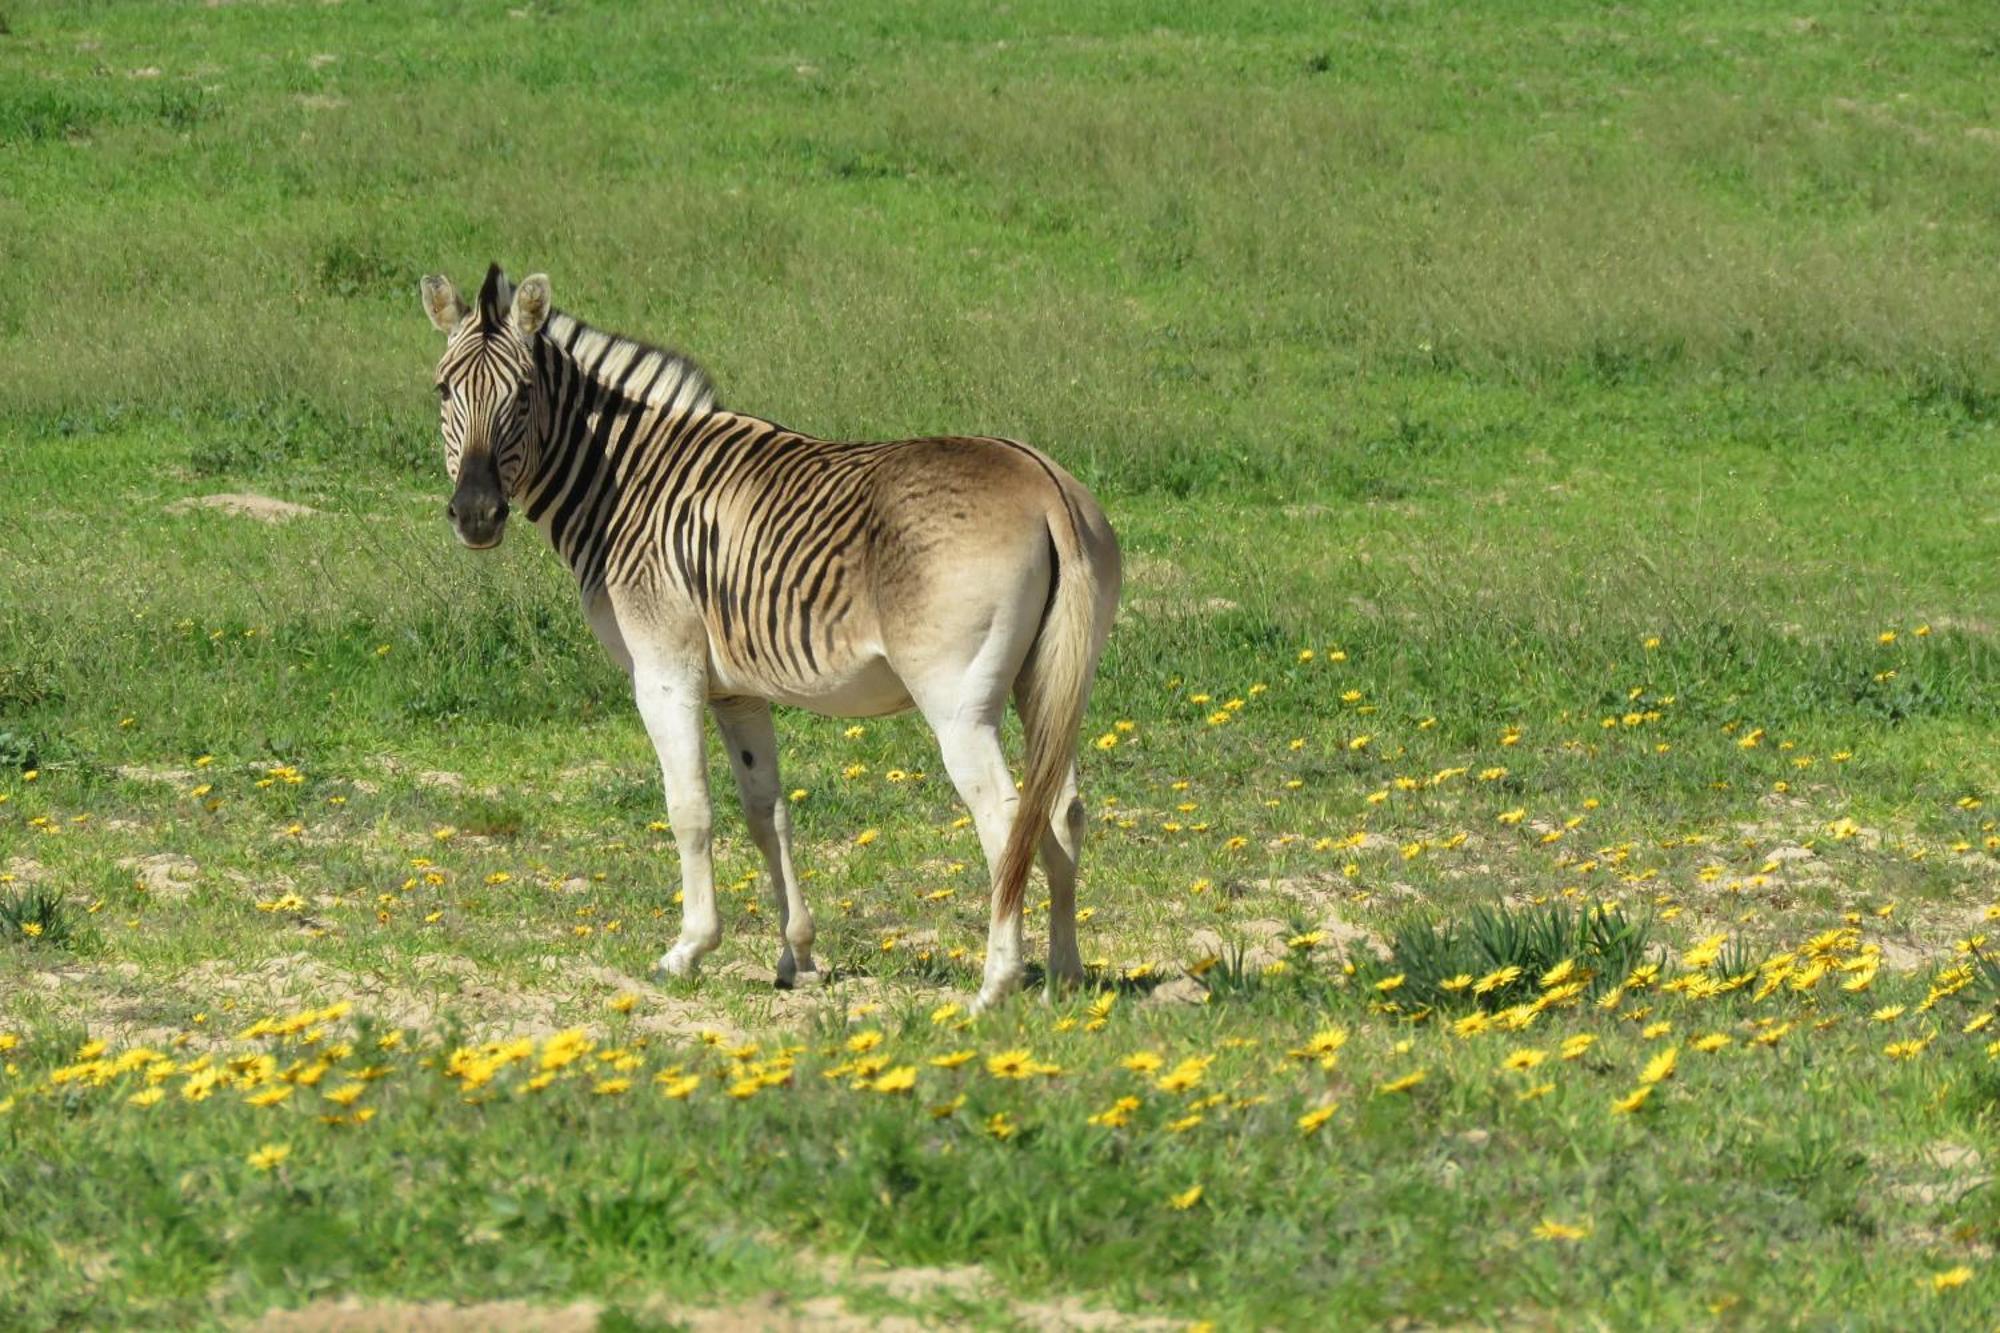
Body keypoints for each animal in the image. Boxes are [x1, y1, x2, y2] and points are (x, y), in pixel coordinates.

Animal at [418, 264, 1128, 1000]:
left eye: (523, 393)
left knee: (1006, 819)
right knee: (1063, 811)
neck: (625, 488)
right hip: (1046, 682)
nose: (476, 514)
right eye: (443, 389)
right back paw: (1066, 976)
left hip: (957, 701)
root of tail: (1042, 483)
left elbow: (689, 809)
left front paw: (689, 949)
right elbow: (768, 812)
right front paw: (798, 955)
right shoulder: (738, 690)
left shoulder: (665, 674)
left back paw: (995, 985)